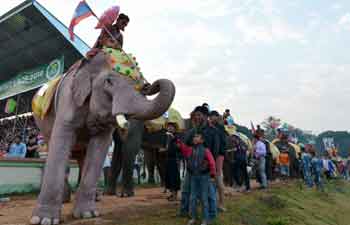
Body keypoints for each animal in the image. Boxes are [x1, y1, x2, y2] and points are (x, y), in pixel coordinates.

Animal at [29, 51, 175, 225]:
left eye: (140, 84)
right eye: (109, 82)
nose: (150, 85)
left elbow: (99, 148)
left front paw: (88, 214)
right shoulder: (68, 100)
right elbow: (61, 143)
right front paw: (43, 220)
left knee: (82, 157)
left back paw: (96, 197)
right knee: (56, 148)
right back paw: (66, 199)